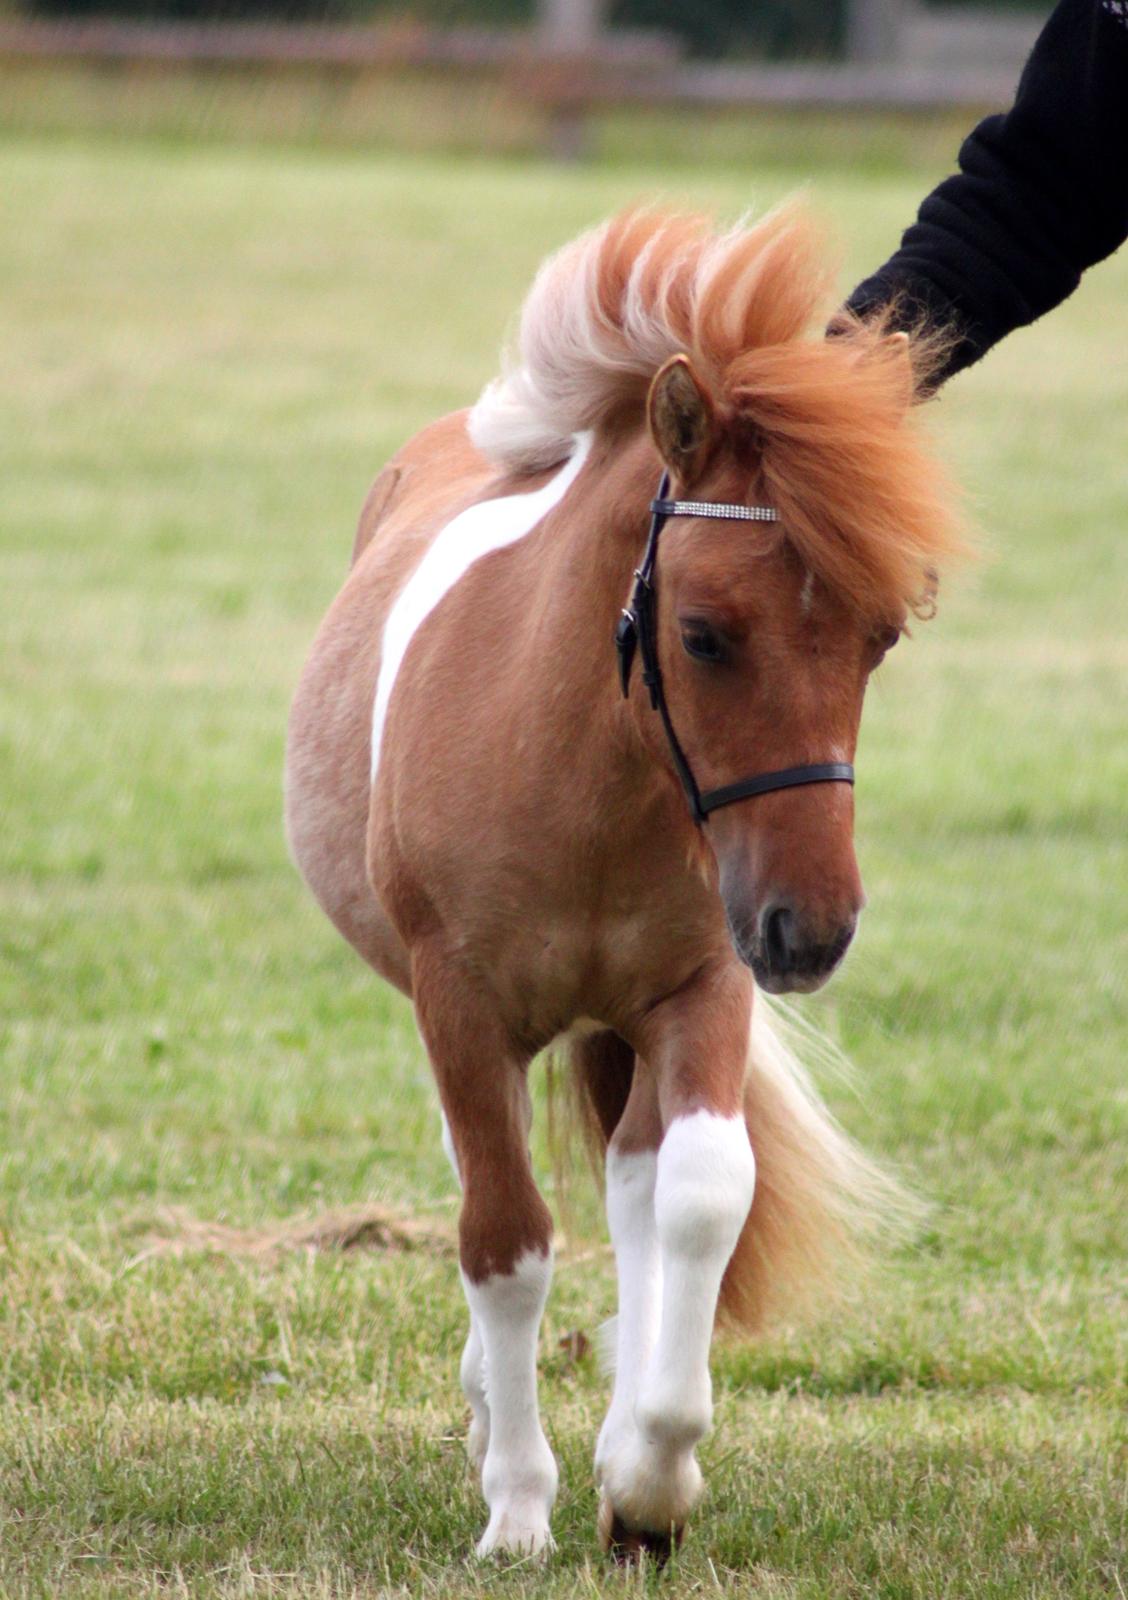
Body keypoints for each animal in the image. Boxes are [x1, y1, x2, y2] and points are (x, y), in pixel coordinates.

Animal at [286, 209, 966, 1561]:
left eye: (879, 638)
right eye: (702, 633)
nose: (812, 931)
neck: (578, 771)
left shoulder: (703, 987)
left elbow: (697, 1197)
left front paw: (648, 1479)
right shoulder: (463, 1008)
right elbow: (504, 1239)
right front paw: (517, 1509)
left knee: (637, 1180)